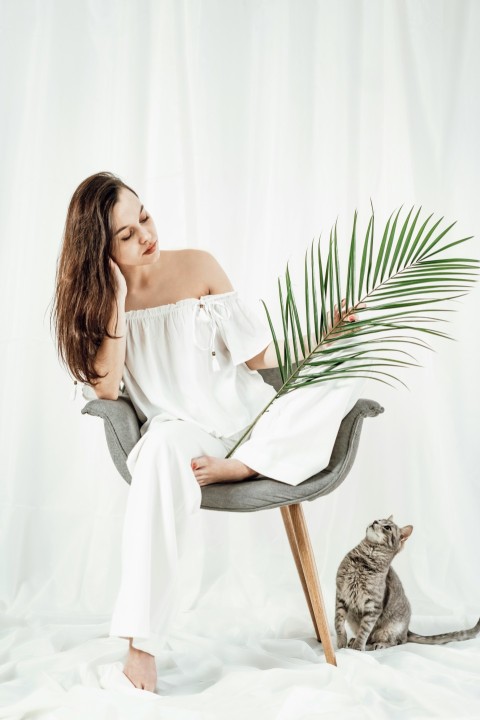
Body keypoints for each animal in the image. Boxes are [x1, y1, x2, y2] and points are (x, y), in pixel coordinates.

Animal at [334, 516, 480, 648]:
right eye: (378, 519)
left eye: (387, 527)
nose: (375, 521)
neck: (363, 560)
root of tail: (407, 630)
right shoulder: (341, 595)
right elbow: (338, 623)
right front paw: (341, 643)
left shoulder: (373, 607)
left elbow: (364, 631)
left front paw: (357, 649)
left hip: (391, 628)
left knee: (398, 641)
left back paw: (381, 644)